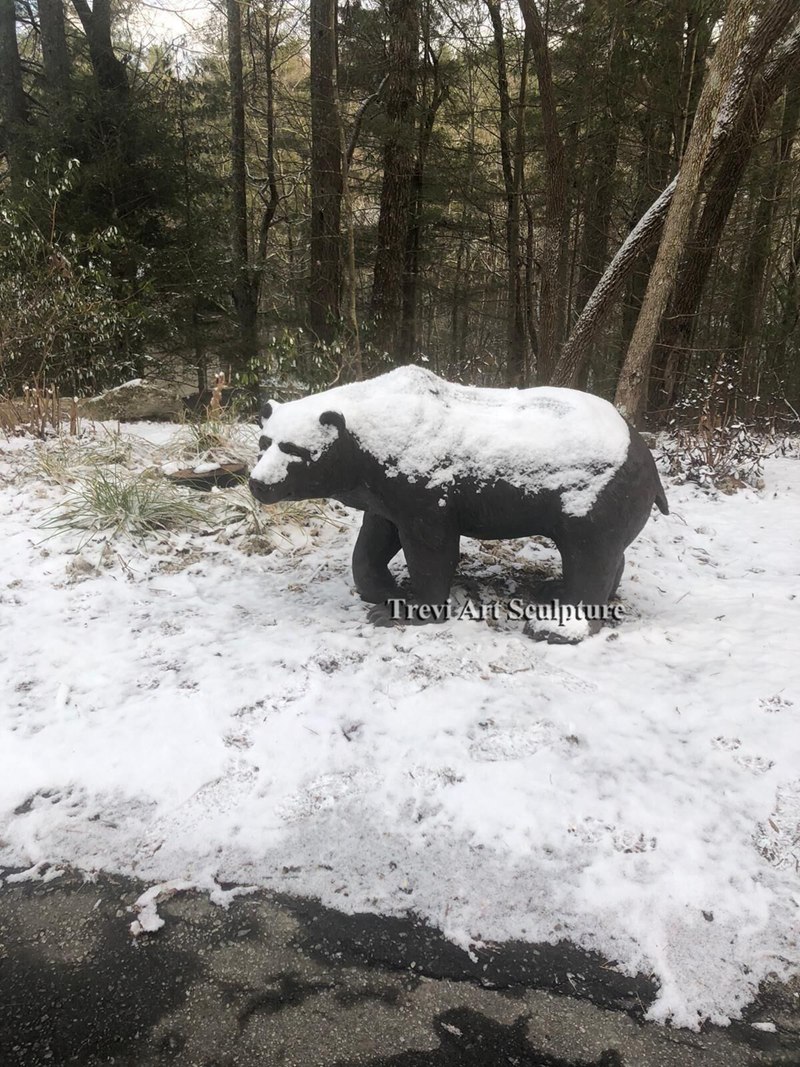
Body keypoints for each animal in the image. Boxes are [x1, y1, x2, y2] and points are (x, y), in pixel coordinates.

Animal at [248, 366, 668, 641]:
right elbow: (375, 539)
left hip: (592, 494)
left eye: (295, 450)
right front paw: (383, 591)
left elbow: (432, 547)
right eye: (265, 442)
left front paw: (411, 610)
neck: (374, 445)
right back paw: (562, 591)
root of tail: (643, 449)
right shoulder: (386, 491)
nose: (258, 484)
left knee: (589, 553)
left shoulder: (425, 485)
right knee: (610, 553)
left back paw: (555, 624)